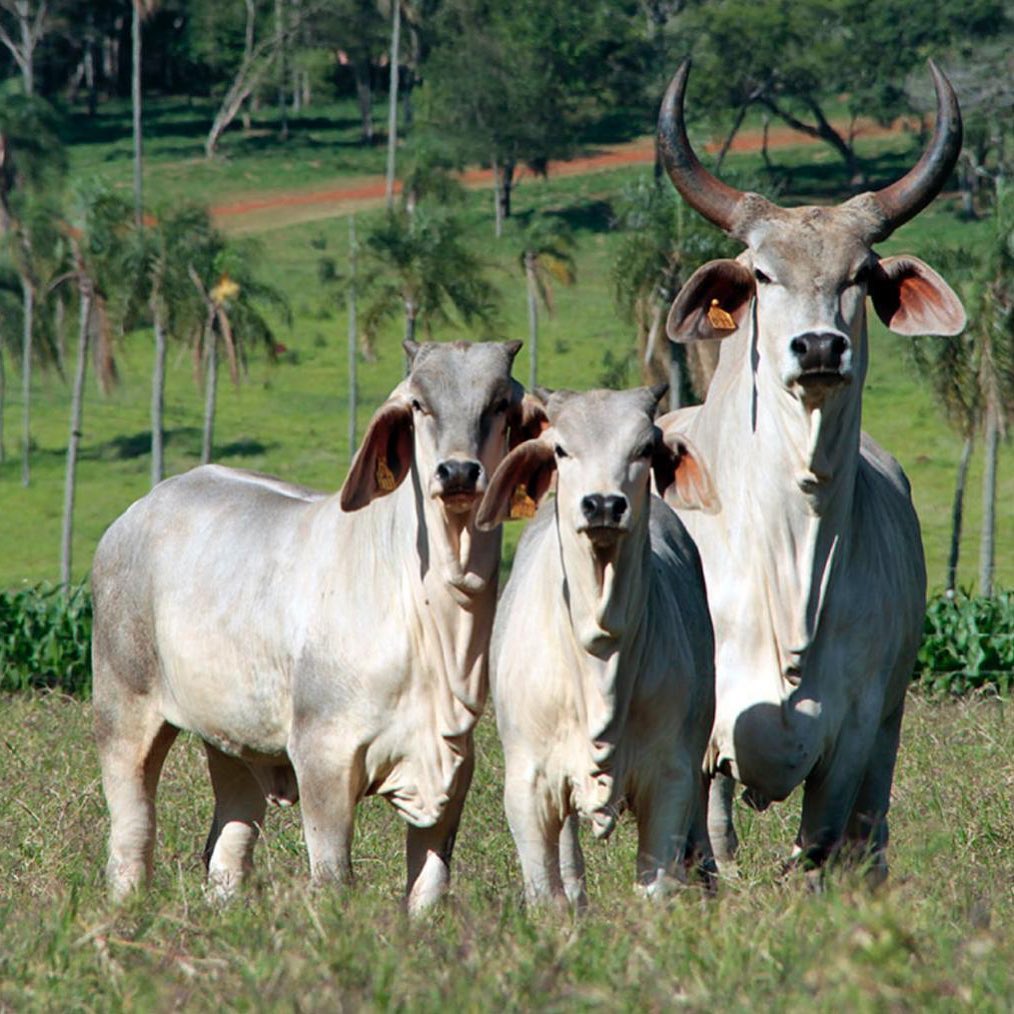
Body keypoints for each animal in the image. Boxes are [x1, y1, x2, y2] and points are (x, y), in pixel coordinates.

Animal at [94, 338, 531, 912]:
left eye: (500, 403)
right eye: (418, 404)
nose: (458, 473)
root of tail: (136, 512)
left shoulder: (454, 768)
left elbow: (429, 887)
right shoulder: (323, 756)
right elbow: (333, 876)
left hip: (231, 739)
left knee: (229, 844)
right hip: (123, 709)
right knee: (132, 831)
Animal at [478, 385, 717, 904]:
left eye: (644, 448)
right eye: (561, 449)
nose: (604, 505)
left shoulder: (671, 780)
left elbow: (657, 887)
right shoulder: (528, 785)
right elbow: (547, 892)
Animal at [657, 61, 965, 880]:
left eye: (861, 274)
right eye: (763, 274)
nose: (821, 347)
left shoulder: (854, 735)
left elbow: (823, 847)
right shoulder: (696, 734)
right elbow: (700, 846)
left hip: (887, 733)